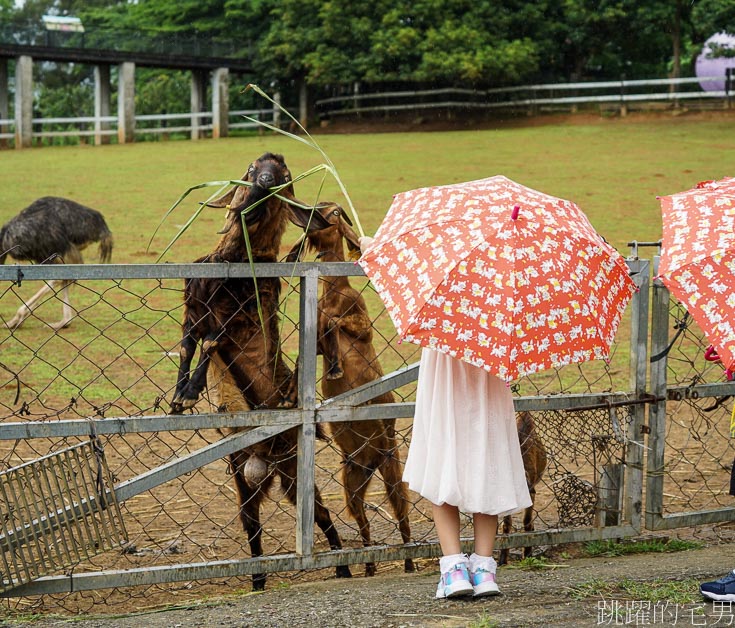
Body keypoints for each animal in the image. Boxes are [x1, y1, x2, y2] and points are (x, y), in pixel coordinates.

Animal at [0, 197, 113, 332]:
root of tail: (101, 226)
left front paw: (17, 319)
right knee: (65, 277)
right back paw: (64, 322)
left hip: (57, 250)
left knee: (59, 277)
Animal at [170, 155, 350, 592]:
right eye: (253, 169)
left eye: (284, 176)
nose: (264, 183)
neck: (236, 258)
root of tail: (265, 459)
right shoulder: (193, 308)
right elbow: (187, 346)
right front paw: (178, 397)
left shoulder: (234, 316)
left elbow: (210, 345)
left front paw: (191, 391)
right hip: (242, 473)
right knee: (251, 523)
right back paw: (257, 579)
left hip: (292, 471)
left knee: (318, 514)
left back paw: (342, 566)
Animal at [286, 204, 414, 576]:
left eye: (328, 213)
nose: (299, 212)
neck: (334, 293)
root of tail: (370, 459)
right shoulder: (314, 340)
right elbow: (308, 349)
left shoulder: (361, 326)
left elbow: (336, 324)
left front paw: (337, 367)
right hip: (352, 480)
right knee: (363, 521)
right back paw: (369, 566)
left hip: (391, 467)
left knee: (402, 515)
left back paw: (409, 563)